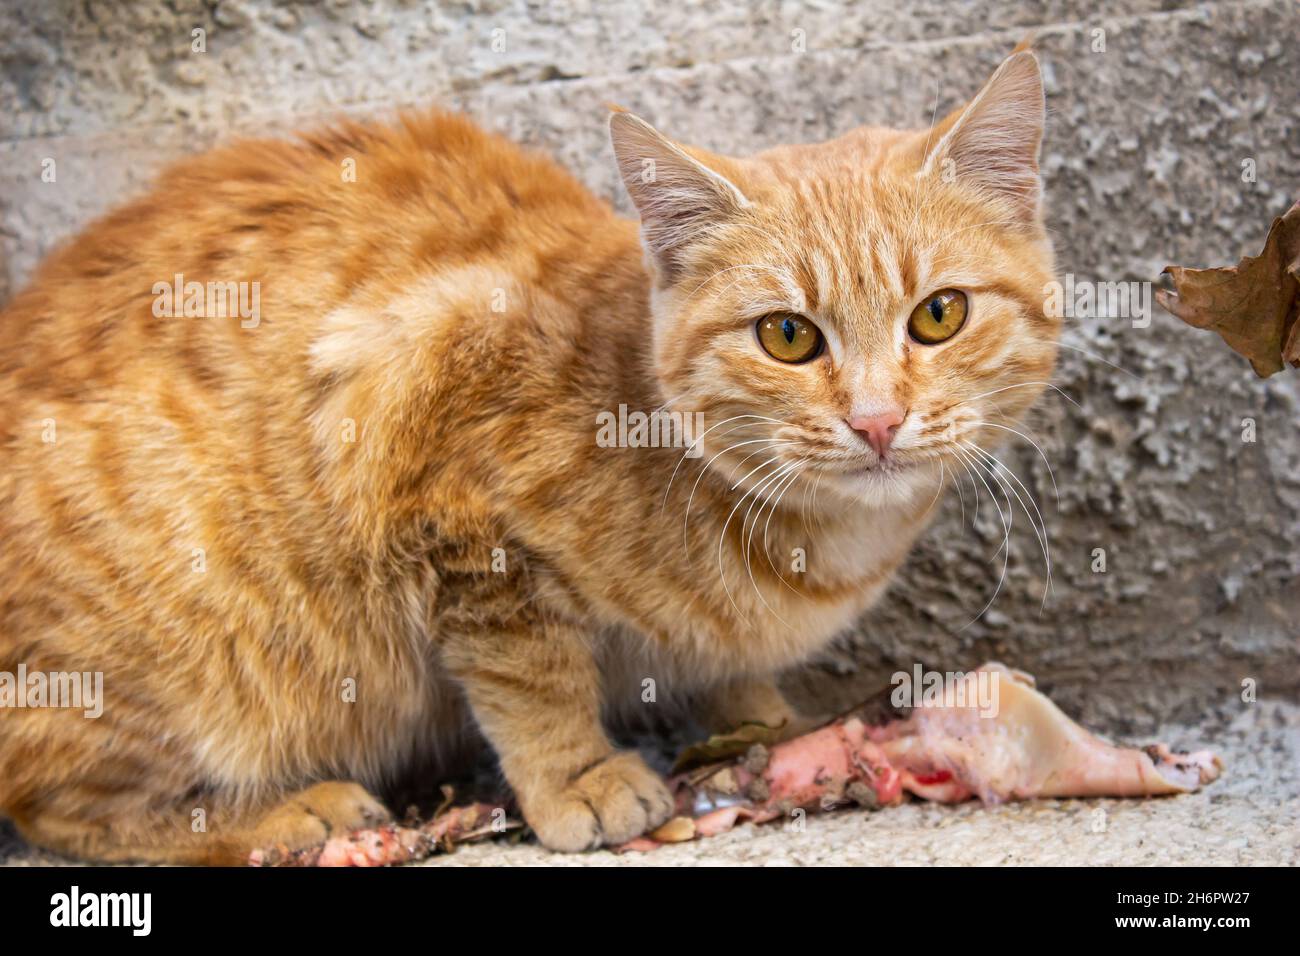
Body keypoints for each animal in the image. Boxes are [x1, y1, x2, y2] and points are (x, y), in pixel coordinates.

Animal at [0, 50, 1055, 858]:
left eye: (939, 315)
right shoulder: (437, 469)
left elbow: (728, 673)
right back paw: (281, 816)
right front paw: (577, 774)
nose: (877, 420)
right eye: (788, 336)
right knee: (63, 807)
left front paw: (774, 724)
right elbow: (530, 675)